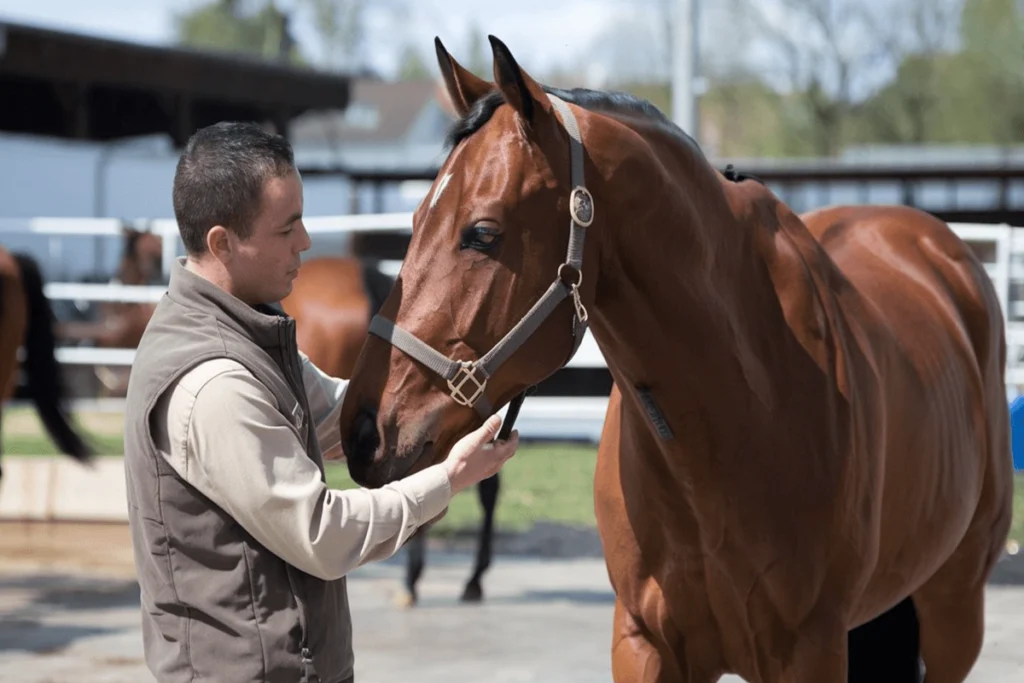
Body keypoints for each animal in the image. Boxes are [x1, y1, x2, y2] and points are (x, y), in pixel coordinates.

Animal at [337, 36, 1015, 683]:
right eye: (415, 218)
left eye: (482, 233)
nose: (362, 428)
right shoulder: (644, 642)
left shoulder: (811, 649)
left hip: (955, 609)